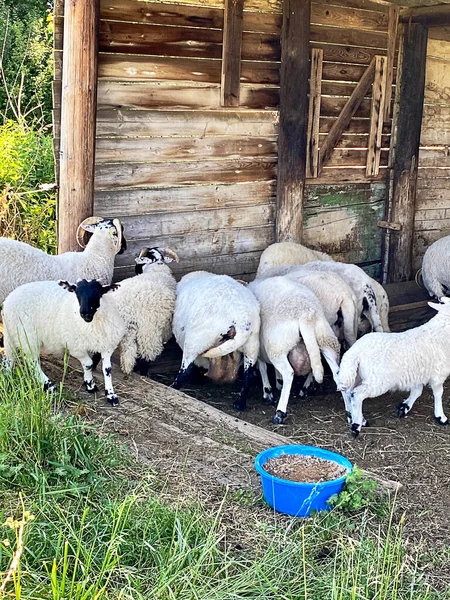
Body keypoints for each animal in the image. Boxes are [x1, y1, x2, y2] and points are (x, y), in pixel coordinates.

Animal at [2, 278, 125, 406]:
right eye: (77, 294)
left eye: (98, 293)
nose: (84, 313)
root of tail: (8, 299)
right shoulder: (76, 347)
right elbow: (88, 364)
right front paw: (90, 384)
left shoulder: (107, 345)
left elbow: (107, 370)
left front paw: (111, 395)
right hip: (27, 336)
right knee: (31, 361)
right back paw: (49, 385)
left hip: (13, 335)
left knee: (9, 357)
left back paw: (7, 375)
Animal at [171, 274, 260, 410]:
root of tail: (242, 320)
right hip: (252, 345)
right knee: (248, 376)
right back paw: (240, 403)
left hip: (196, 340)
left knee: (185, 371)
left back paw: (173, 386)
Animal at [248, 276, 340, 422]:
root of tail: (306, 315)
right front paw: (277, 383)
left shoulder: (259, 346)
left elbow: (262, 367)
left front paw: (268, 392)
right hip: (324, 338)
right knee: (336, 372)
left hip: (277, 347)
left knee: (288, 372)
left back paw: (280, 412)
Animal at [336, 296, 450, 436]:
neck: (441, 331)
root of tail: (354, 353)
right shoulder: (438, 374)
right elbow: (438, 393)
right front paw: (441, 417)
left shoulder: (417, 374)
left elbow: (417, 391)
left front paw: (404, 407)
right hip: (377, 381)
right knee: (357, 395)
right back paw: (356, 425)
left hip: (356, 375)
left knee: (348, 393)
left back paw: (356, 418)